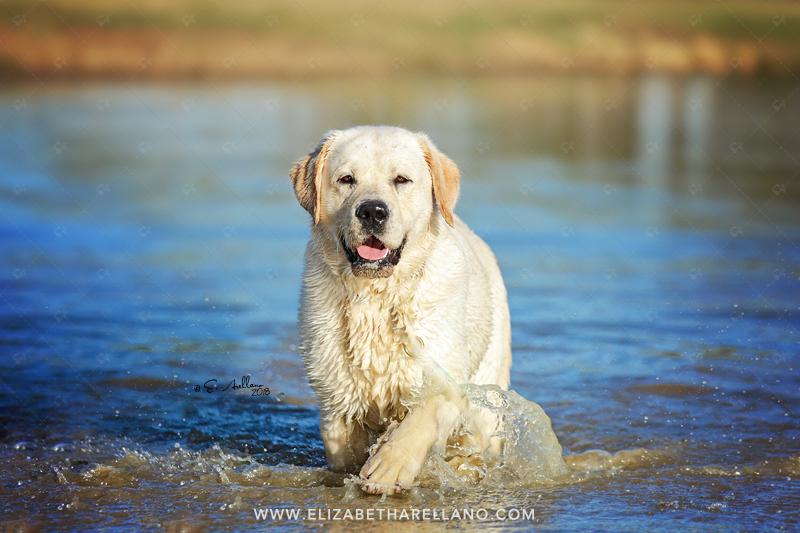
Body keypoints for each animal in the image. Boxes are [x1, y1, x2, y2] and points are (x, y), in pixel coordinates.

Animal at [289, 126, 511, 494]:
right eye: (346, 179)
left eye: (401, 180)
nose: (372, 211)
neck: (375, 296)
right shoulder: (337, 397)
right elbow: (343, 449)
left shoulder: (442, 372)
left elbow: (426, 412)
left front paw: (388, 467)